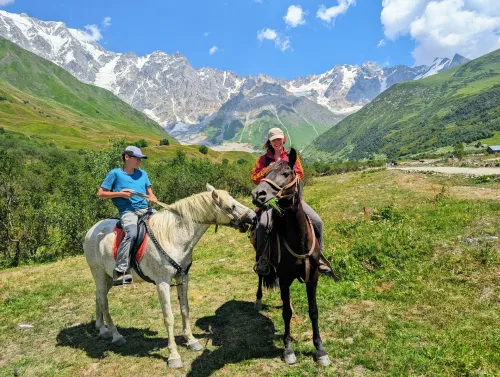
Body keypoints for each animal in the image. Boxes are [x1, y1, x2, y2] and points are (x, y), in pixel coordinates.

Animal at [83, 185, 256, 368]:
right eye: (231, 206)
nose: (253, 217)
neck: (173, 237)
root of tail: (91, 231)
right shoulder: (162, 283)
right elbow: (169, 317)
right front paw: (173, 355)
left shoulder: (182, 277)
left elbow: (185, 309)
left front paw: (191, 340)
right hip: (99, 273)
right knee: (103, 302)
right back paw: (116, 335)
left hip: (108, 278)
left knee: (98, 297)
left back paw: (102, 329)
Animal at [252, 149, 330, 364]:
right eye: (264, 173)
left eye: (287, 173)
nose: (257, 194)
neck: (298, 239)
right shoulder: (286, 278)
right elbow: (286, 313)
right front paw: (288, 349)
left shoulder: (313, 277)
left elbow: (313, 310)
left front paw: (320, 349)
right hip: (259, 257)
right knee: (260, 276)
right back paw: (258, 300)